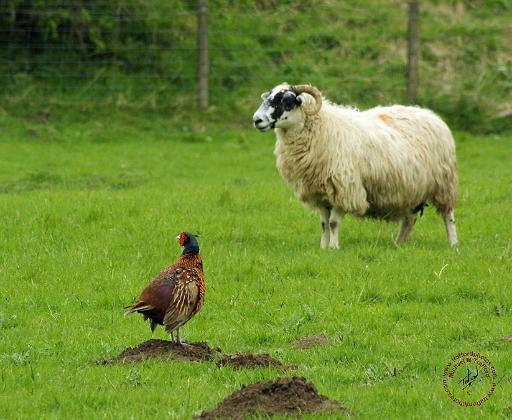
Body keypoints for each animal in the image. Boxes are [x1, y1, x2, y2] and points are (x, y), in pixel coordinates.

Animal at [253, 83, 460, 248]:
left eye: (287, 101)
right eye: (268, 98)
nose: (257, 120)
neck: (322, 127)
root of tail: (430, 114)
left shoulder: (344, 188)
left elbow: (333, 223)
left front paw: (333, 248)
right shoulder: (320, 192)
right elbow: (323, 224)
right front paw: (322, 247)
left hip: (444, 183)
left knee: (448, 215)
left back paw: (453, 243)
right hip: (412, 188)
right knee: (410, 219)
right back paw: (399, 244)